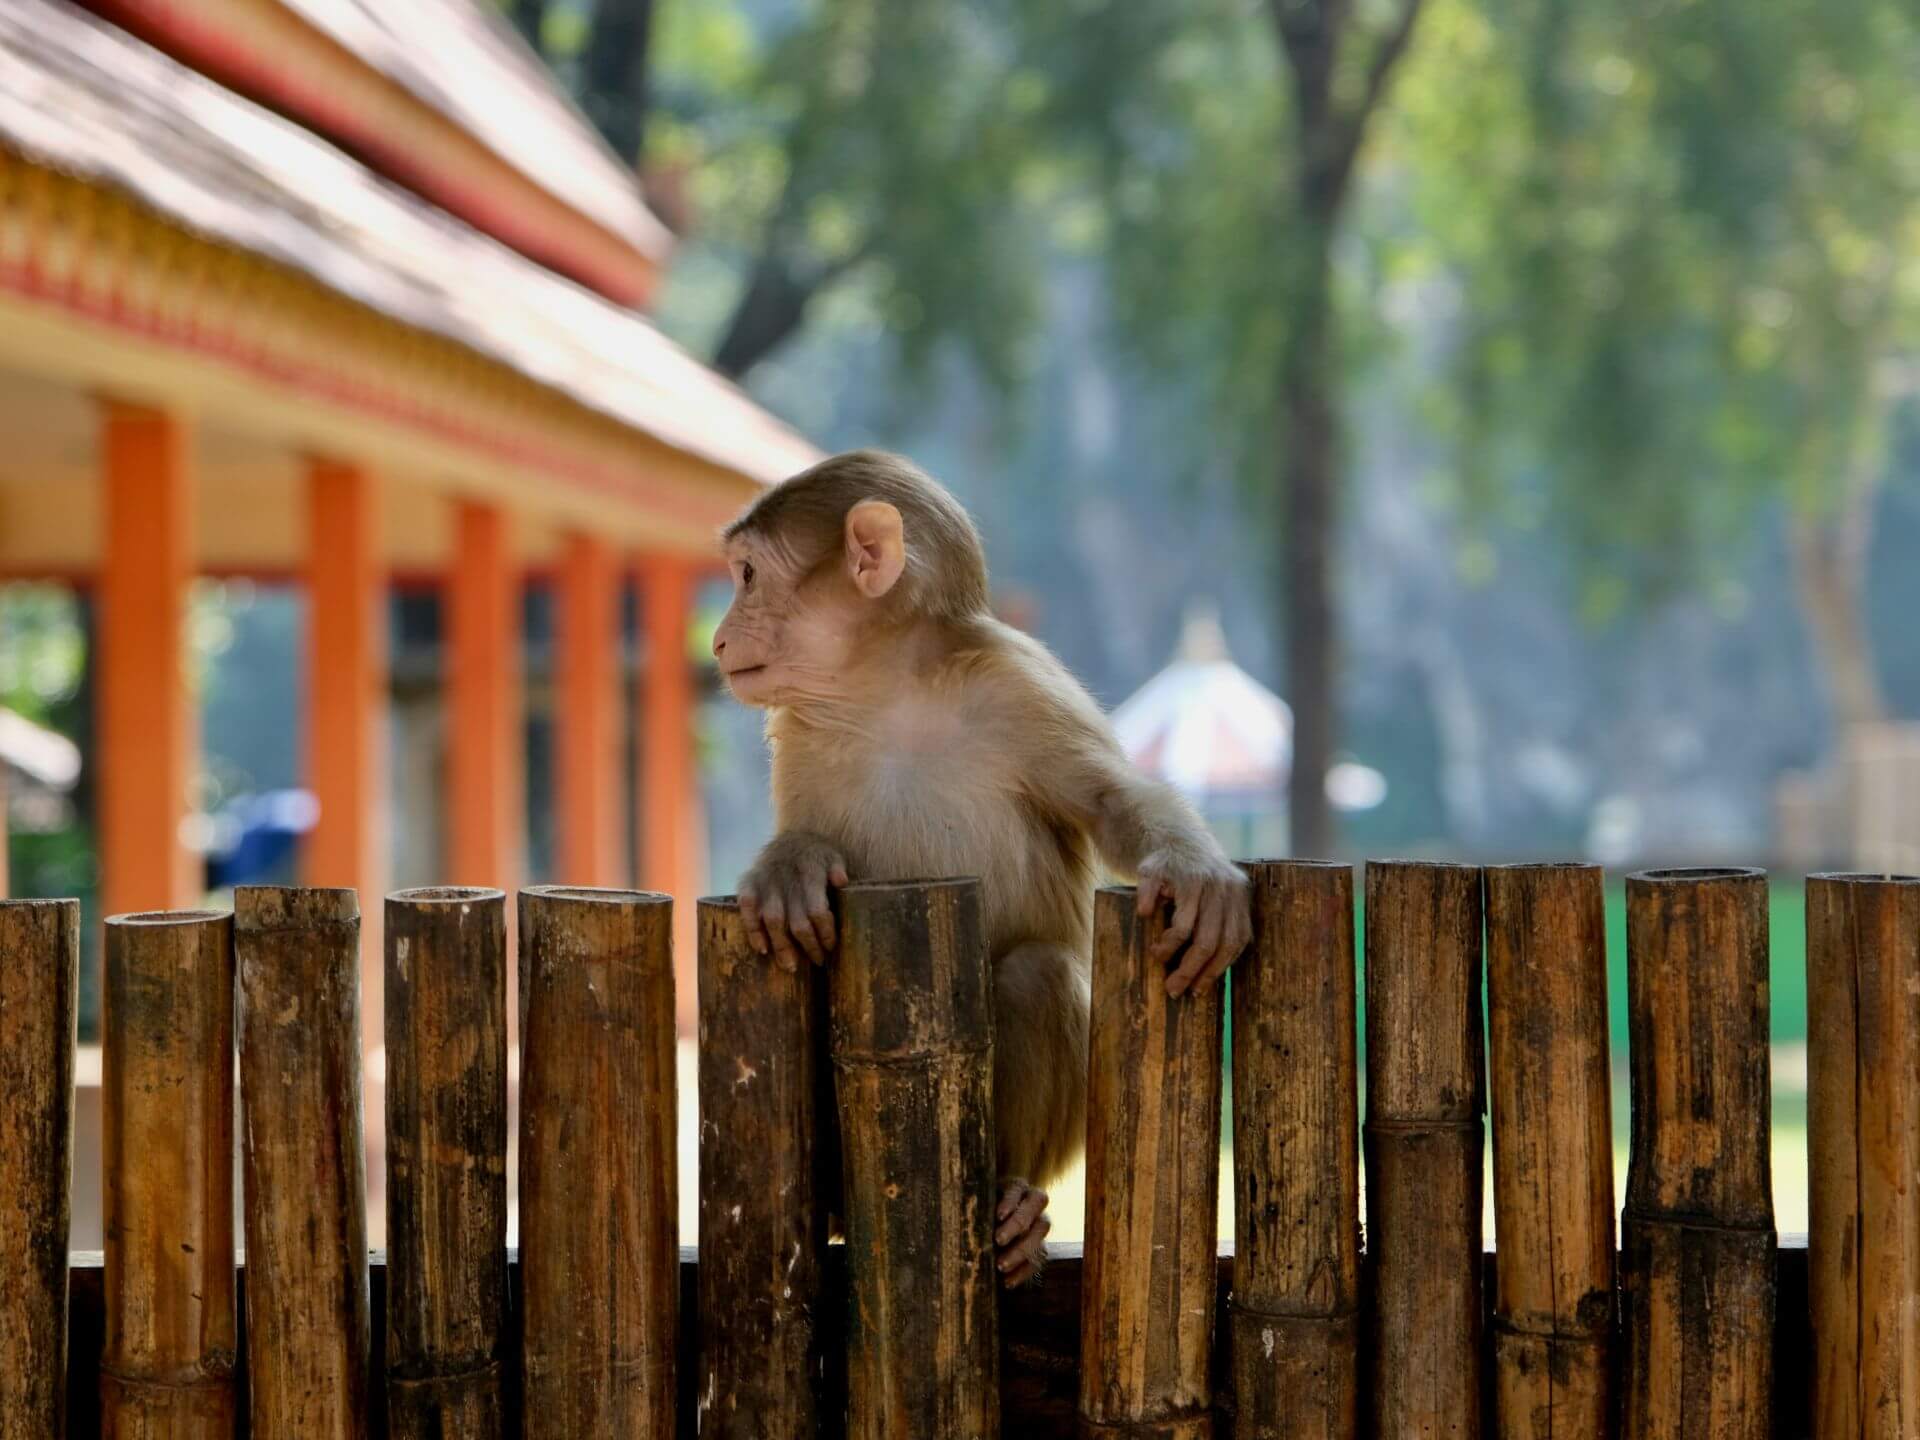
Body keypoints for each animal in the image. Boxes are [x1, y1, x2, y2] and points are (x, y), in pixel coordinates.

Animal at [711, 449, 1252, 1287]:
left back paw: (1014, 1210)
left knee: (1037, 975)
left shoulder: (1020, 687)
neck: (887, 694)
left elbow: (1112, 800)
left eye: (747, 575)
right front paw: (790, 869)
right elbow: (806, 842)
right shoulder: (801, 733)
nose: (717, 638)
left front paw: (1194, 868)